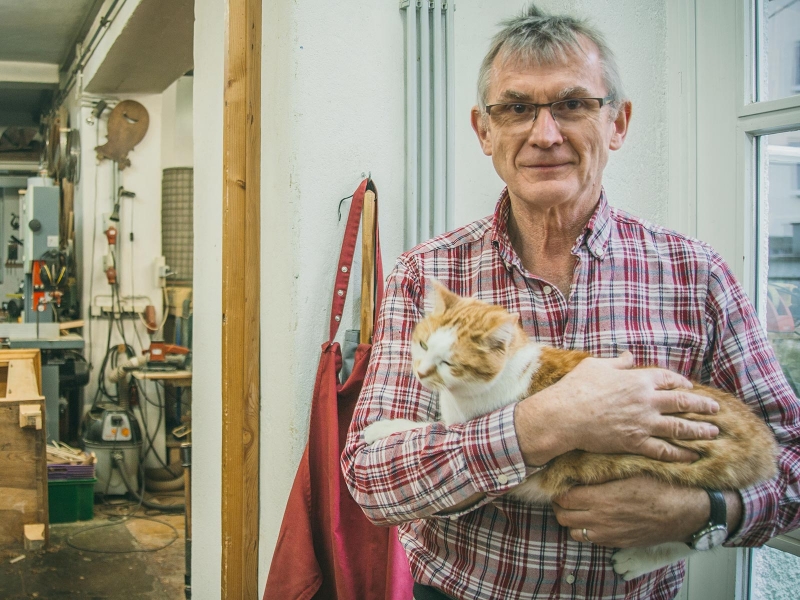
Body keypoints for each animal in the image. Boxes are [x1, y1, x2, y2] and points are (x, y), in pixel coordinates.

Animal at [366, 282, 780, 580]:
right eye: (423, 344)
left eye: (449, 363)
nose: (421, 372)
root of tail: (761, 439)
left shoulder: (473, 424)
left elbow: (433, 427)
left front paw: (385, 426)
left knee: (701, 536)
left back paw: (636, 560)